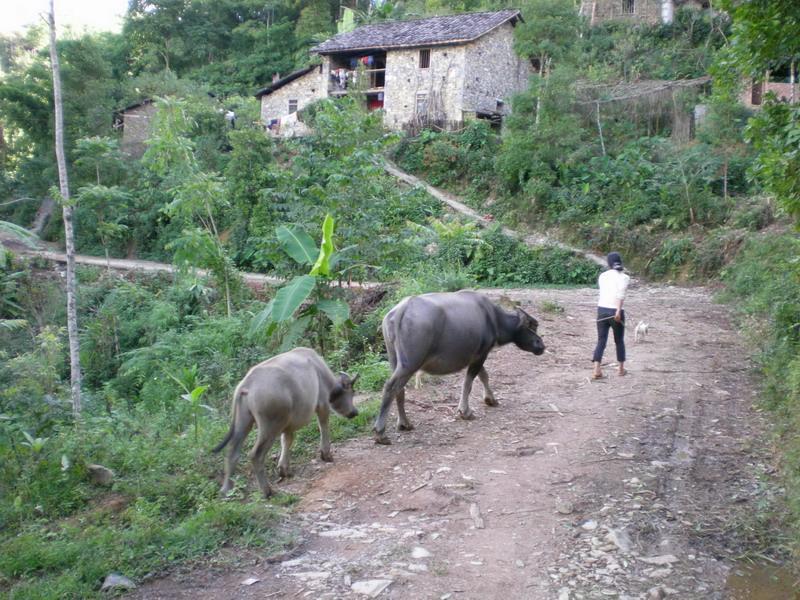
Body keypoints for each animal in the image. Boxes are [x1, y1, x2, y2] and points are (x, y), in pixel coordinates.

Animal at [214, 346, 360, 496]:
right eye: (351, 392)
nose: (354, 412)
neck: (320, 371)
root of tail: (246, 385)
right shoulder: (323, 405)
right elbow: (323, 427)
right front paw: (326, 455)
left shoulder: (287, 425)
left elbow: (287, 440)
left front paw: (284, 470)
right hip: (270, 426)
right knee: (256, 455)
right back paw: (267, 491)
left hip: (243, 422)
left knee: (232, 452)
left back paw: (226, 489)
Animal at [376, 290, 544, 446]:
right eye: (533, 325)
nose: (541, 345)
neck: (494, 319)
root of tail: (400, 311)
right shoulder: (480, 355)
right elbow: (469, 383)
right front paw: (465, 412)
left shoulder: (476, 356)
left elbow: (484, 376)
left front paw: (491, 399)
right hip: (410, 363)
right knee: (391, 387)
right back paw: (381, 433)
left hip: (394, 360)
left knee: (399, 389)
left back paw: (404, 423)